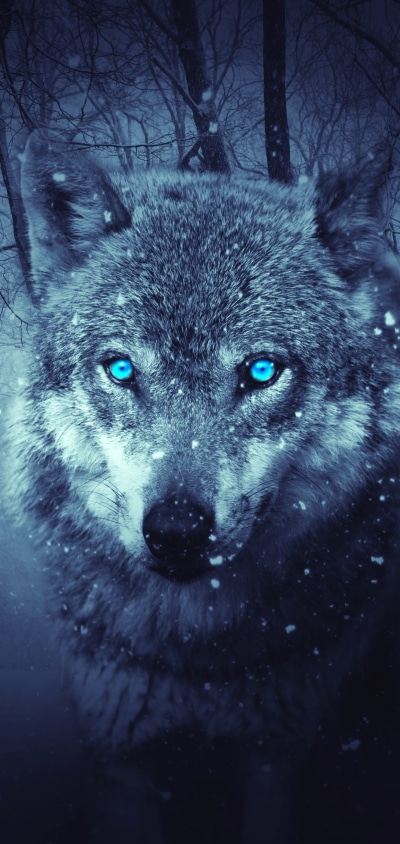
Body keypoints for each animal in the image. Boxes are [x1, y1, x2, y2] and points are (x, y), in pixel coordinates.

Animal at [3, 131, 400, 842]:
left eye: (261, 371)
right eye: (121, 369)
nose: (177, 531)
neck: (197, 658)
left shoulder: (277, 755)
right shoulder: (121, 753)